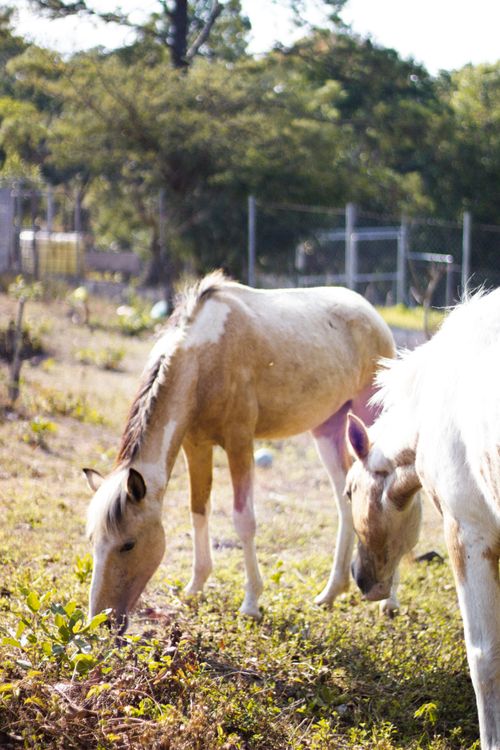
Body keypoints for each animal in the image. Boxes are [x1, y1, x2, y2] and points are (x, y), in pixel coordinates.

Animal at [84, 271, 395, 633]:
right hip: (328, 429)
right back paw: (331, 593)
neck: (203, 358)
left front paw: (251, 602)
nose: (101, 621)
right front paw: (195, 587)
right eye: (93, 540)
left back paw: (389, 601)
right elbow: (198, 509)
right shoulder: (195, 445)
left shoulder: (239, 442)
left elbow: (243, 519)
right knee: (346, 503)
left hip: (373, 419)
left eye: (128, 544)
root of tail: (371, 314)